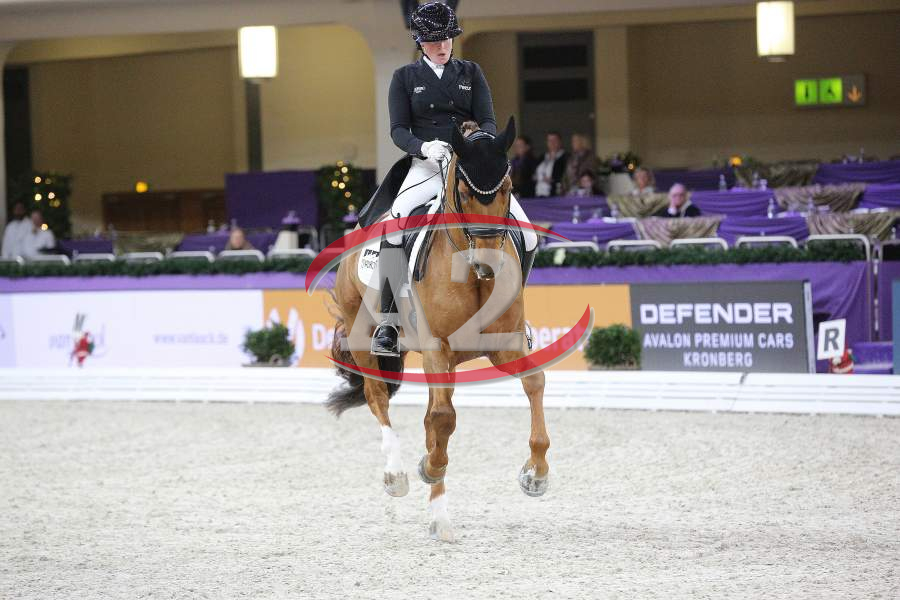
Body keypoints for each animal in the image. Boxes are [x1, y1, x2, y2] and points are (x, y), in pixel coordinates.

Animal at [326, 117, 549, 542]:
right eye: (463, 191)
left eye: (508, 189)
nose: (488, 265)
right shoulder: (436, 346)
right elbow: (443, 420)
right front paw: (427, 468)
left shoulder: (507, 345)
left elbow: (533, 384)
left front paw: (536, 475)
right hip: (364, 335)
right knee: (378, 397)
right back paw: (398, 476)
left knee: (430, 417)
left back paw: (438, 516)